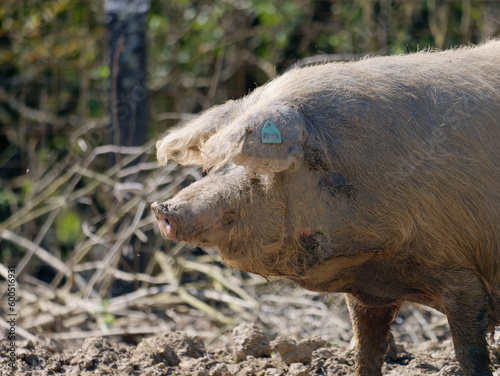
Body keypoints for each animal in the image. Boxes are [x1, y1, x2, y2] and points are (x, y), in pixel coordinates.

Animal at [151, 40, 500, 376]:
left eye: (258, 167)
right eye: (221, 165)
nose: (161, 207)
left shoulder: (462, 271)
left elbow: (468, 352)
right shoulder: (367, 291)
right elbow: (366, 349)